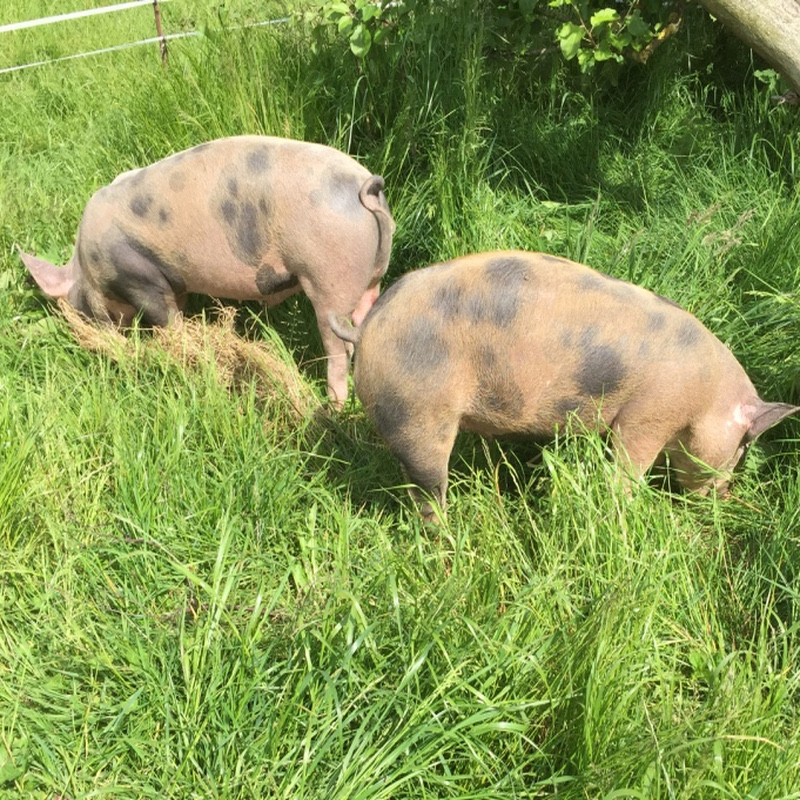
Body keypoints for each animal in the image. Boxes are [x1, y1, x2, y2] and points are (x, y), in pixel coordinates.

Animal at [23, 137, 398, 406]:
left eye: (76, 307)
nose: (95, 342)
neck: (87, 263)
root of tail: (365, 185)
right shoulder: (172, 281)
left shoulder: (140, 278)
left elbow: (166, 317)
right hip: (369, 277)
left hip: (327, 277)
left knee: (338, 349)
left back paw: (332, 405)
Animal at [330, 250, 792, 520]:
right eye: (744, 444)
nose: (726, 497)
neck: (706, 398)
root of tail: (368, 327)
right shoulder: (650, 413)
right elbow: (629, 462)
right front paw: (625, 506)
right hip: (418, 407)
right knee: (427, 486)